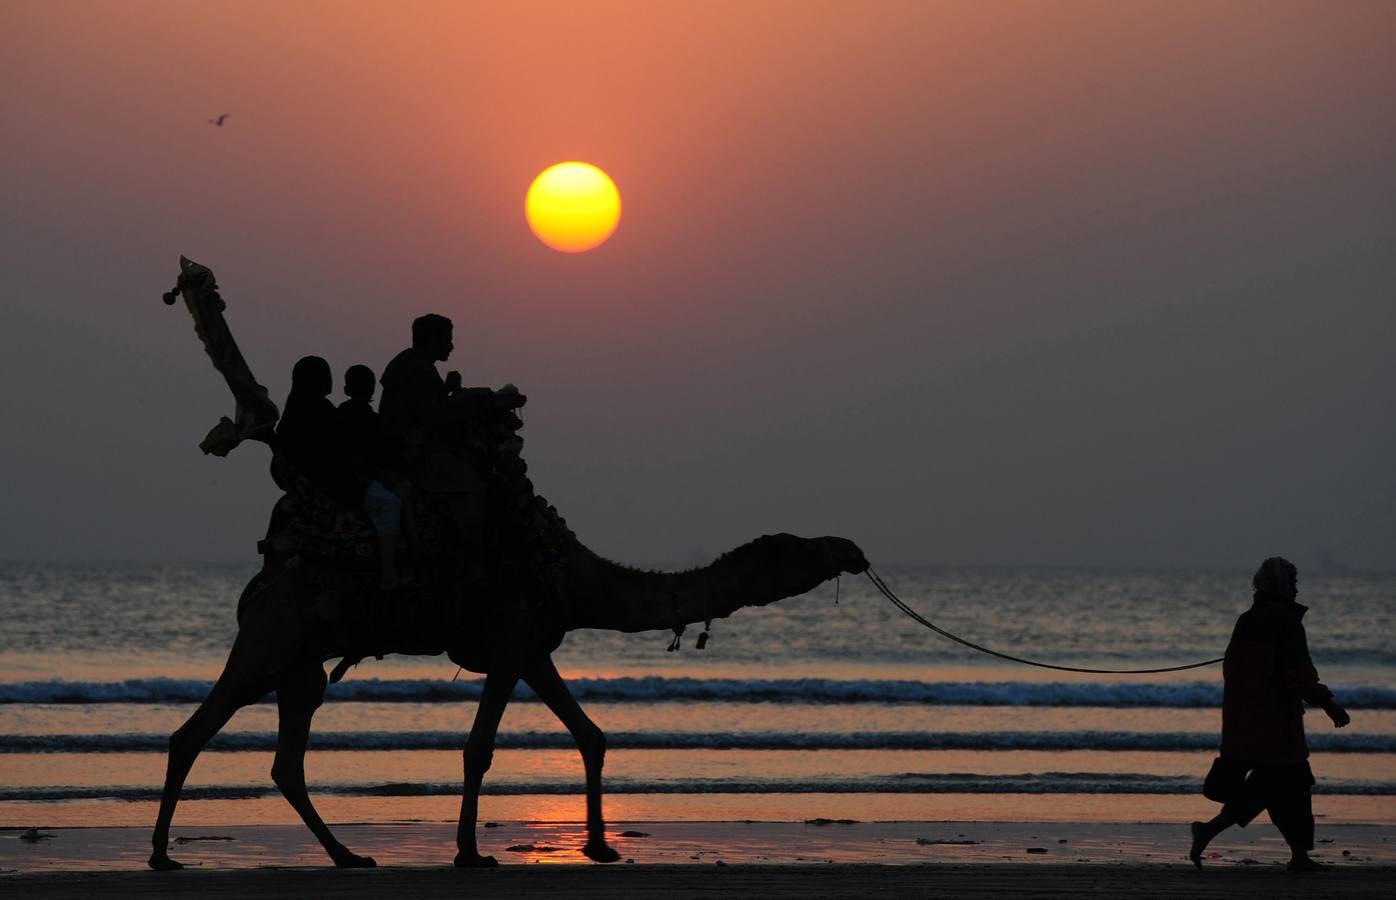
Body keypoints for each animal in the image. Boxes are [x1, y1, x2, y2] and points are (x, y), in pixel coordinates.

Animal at [155, 260, 871, 870]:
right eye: (795, 545)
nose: (854, 550)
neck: (572, 572)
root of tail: (262, 575)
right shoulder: (508, 643)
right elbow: (478, 749)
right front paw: (471, 853)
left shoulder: (533, 647)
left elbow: (591, 735)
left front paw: (601, 847)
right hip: (272, 637)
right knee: (193, 733)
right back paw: (165, 854)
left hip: (301, 658)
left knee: (286, 758)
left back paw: (347, 855)